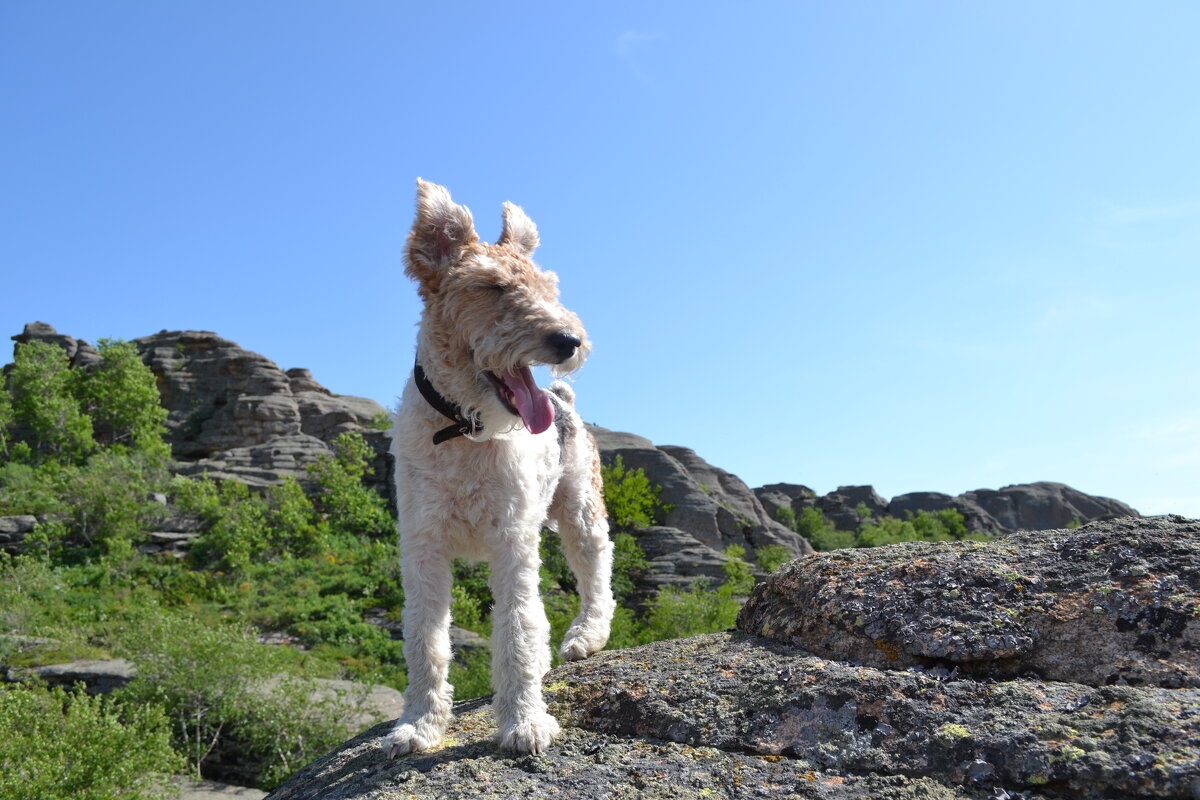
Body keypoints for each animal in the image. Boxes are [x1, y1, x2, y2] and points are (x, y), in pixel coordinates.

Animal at [384, 181, 614, 758]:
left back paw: (585, 637)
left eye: (549, 286)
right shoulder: (422, 547)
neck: (464, 427)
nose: (569, 341)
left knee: (596, 579)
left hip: (580, 512)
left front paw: (524, 723)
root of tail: (563, 399)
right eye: (491, 286)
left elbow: (516, 630)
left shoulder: (512, 541)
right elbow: (426, 641)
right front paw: (418, 726)